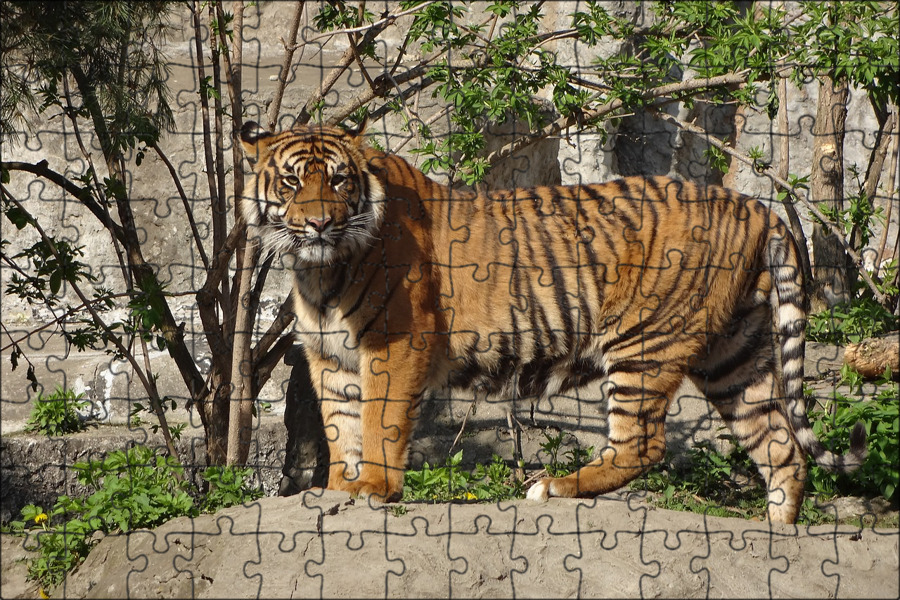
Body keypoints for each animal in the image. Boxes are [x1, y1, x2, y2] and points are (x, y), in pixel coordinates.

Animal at [239, 121, 866, 524]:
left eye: (338, 181)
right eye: (292, 183)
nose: (319, 224)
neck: (319, 269)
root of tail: (758, 206)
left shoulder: (395, 347)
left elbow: (377, 423)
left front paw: (372, 488)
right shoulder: (330, 355)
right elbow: (340, 426)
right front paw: (338, 489)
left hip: (645, 341)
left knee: (643, 445)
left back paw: (554, 486)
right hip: (735, 353)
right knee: (780, 442)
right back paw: (777, 532)